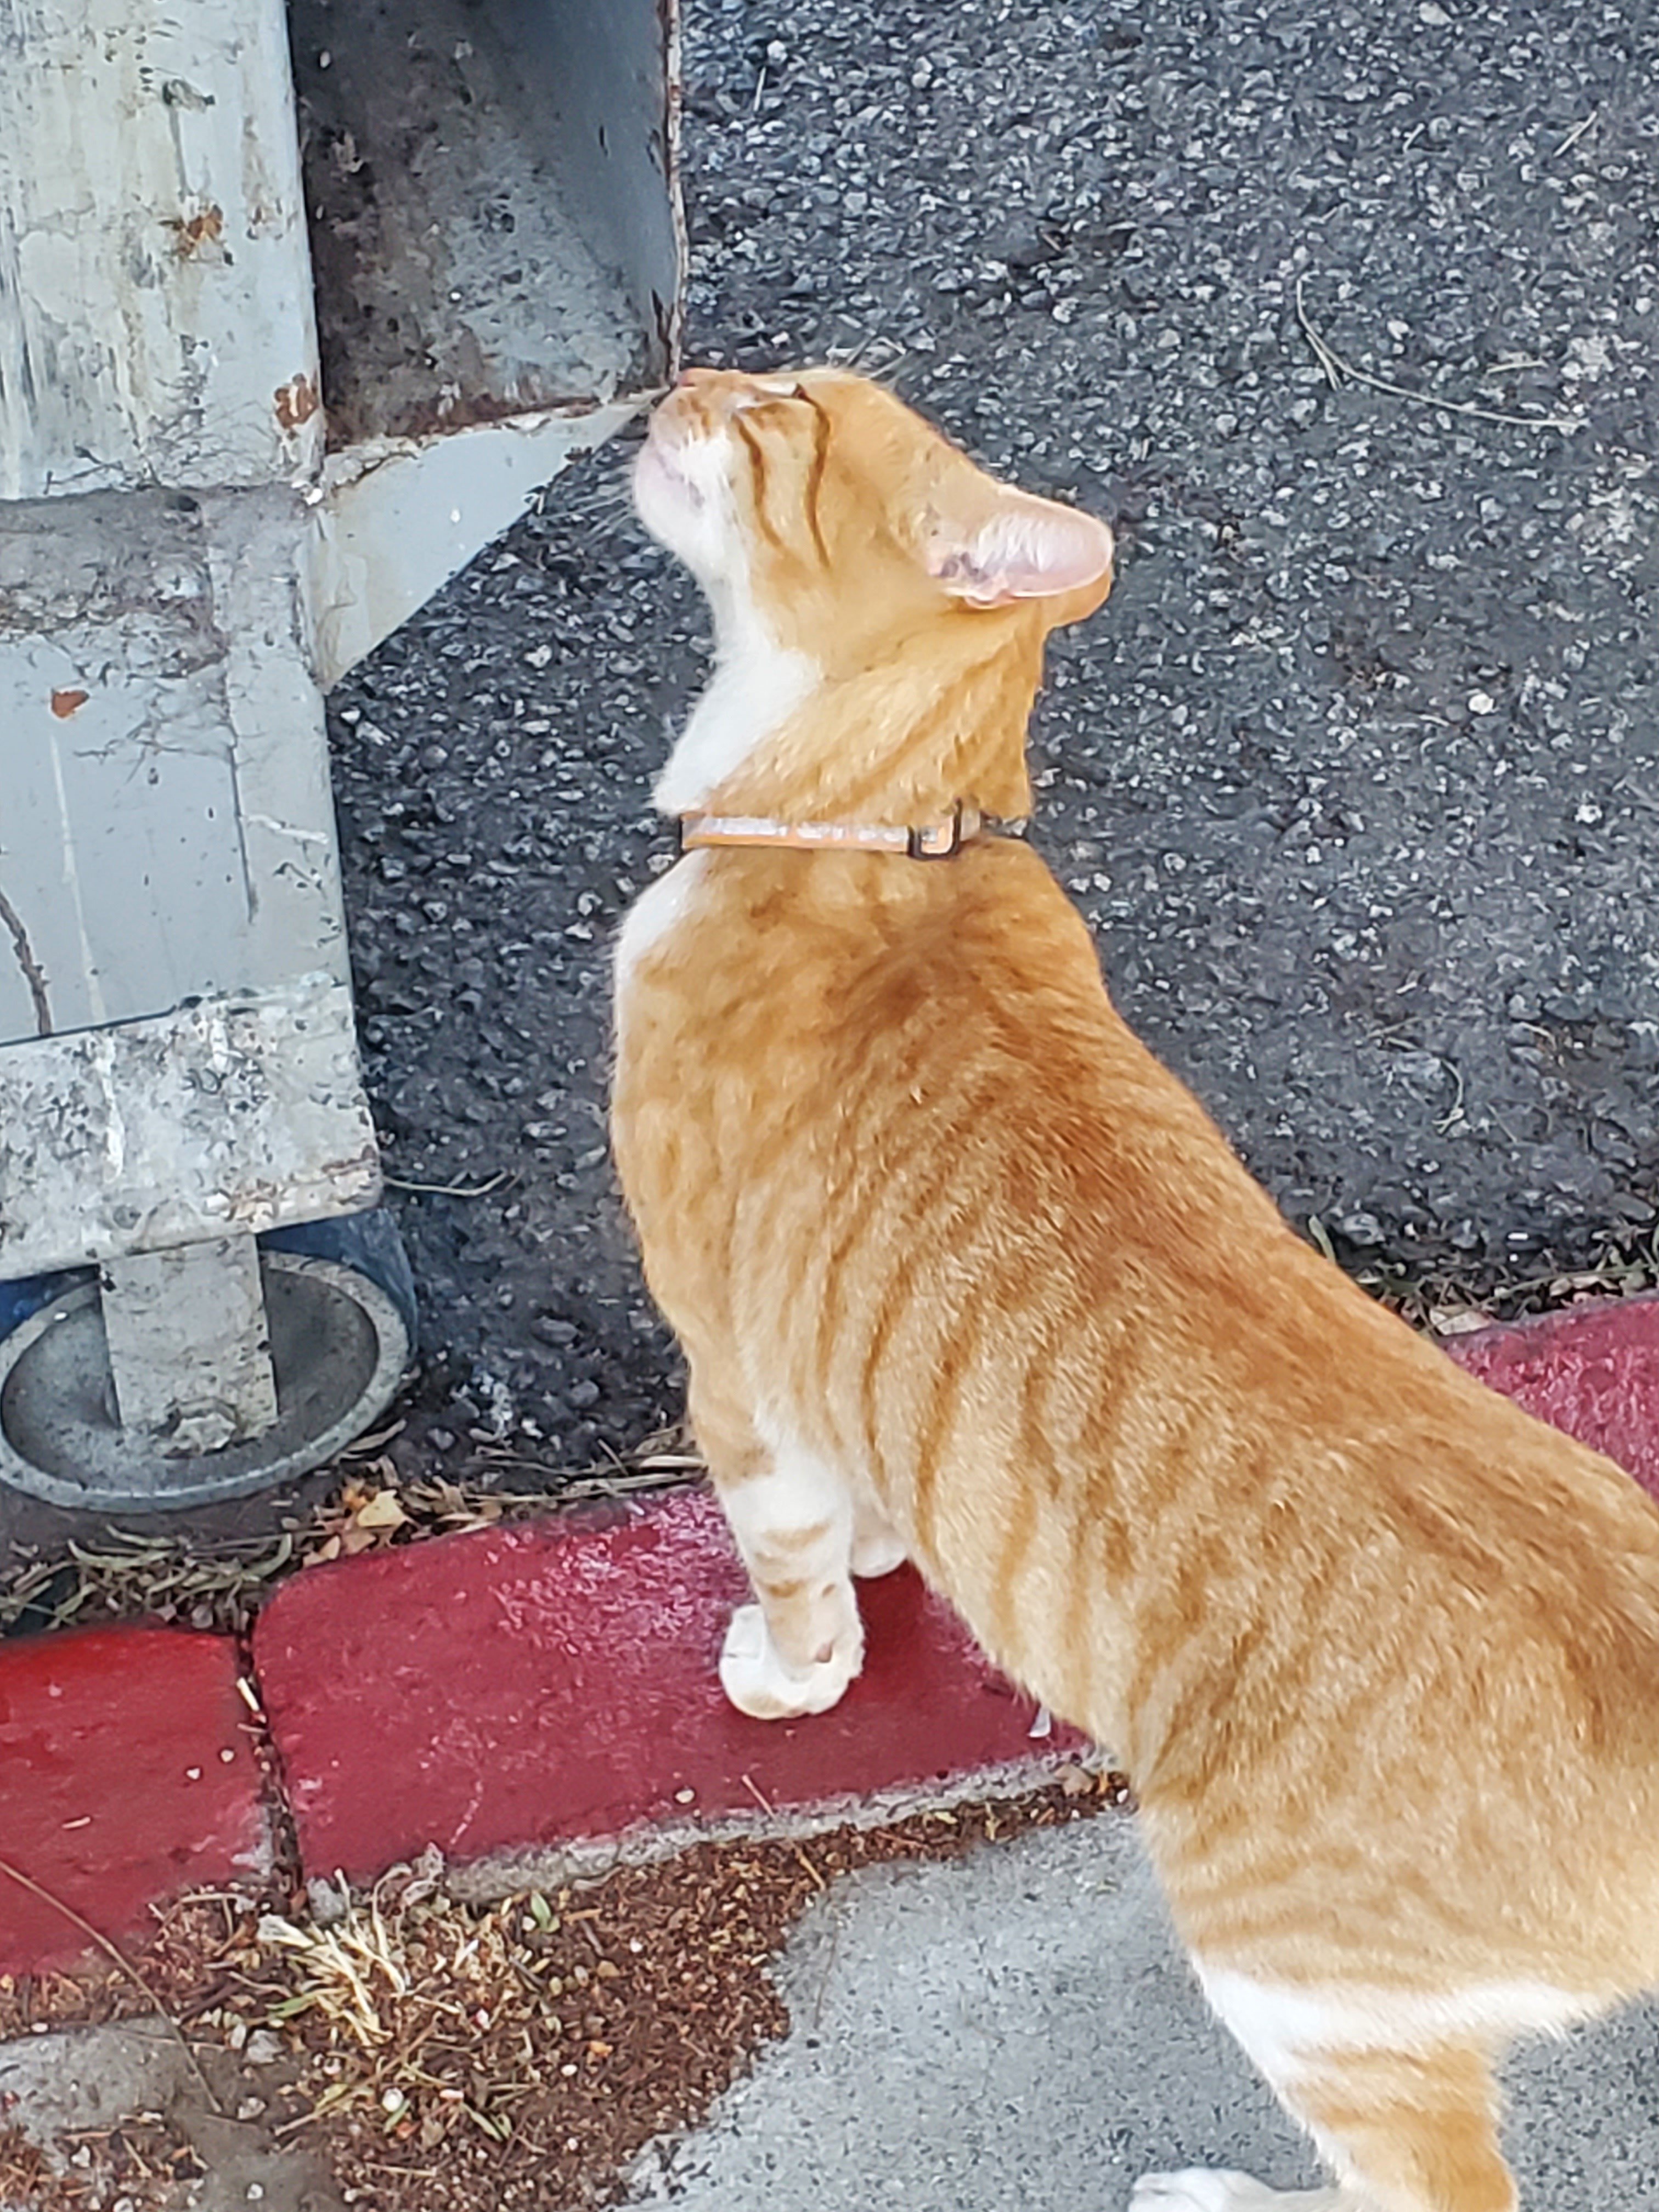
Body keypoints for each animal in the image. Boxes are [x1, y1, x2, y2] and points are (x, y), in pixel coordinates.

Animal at [606, 367, 1659, 2212]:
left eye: (784, 410)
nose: (686, 378)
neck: (870, 833)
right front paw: (887, 1541)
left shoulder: (732, 1378)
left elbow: (795, 1572)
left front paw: (795, 1665)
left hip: (1286, 1979)